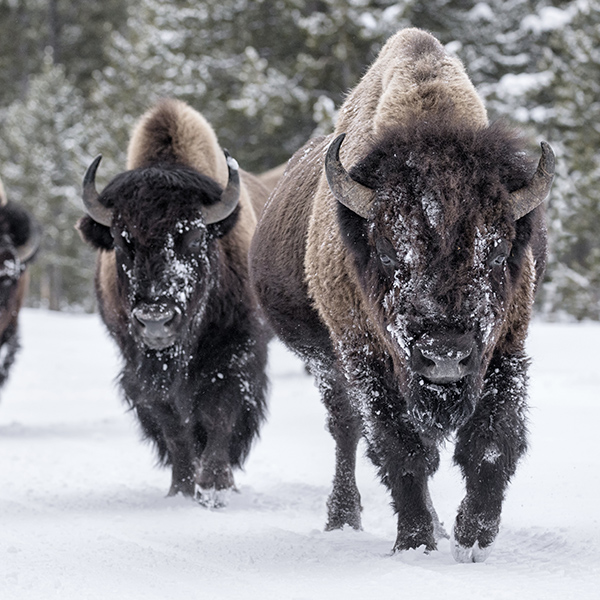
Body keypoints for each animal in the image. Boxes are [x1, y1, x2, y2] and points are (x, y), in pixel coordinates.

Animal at [77, 98, 270, 506]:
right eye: (121, 239)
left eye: (194, 235)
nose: (155, 319)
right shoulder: (139, 367)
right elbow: (173, 423)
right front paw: (180, 488)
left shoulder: (237, 354)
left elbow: (219, 412)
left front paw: (216, 485)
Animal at [248, 29, 552, 564]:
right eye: (390, 249)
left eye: (498, 251)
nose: (445, 355)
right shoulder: (366, 357)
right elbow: (401, 448)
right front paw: (416, 542)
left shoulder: (505, 349)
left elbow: (491, 443)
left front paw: (472, 538)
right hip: (326, 363)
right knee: (346, 429)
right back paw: (342, 518)